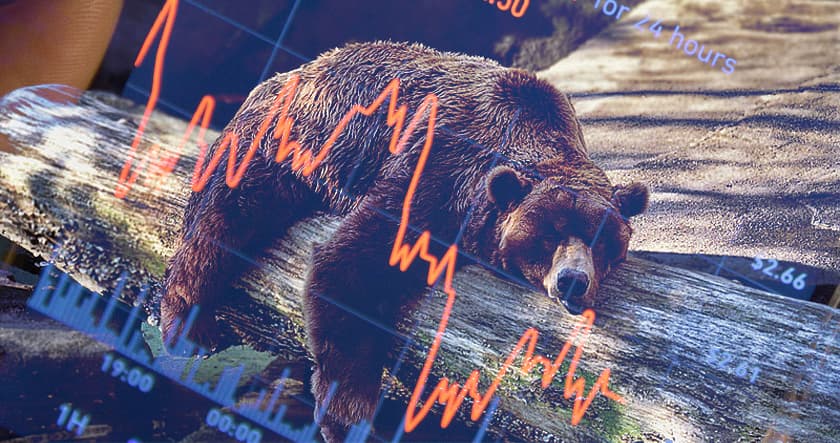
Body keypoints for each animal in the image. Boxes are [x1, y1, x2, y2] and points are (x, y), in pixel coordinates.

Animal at [160, 41, 649, 441]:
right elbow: (352, 263)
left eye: (603, 242)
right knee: (222, 220)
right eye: (547, 236)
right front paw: (350, 417)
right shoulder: (438, 167)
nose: (573, 281)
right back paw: (189, 326)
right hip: (282, 143)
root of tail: (281, 76)